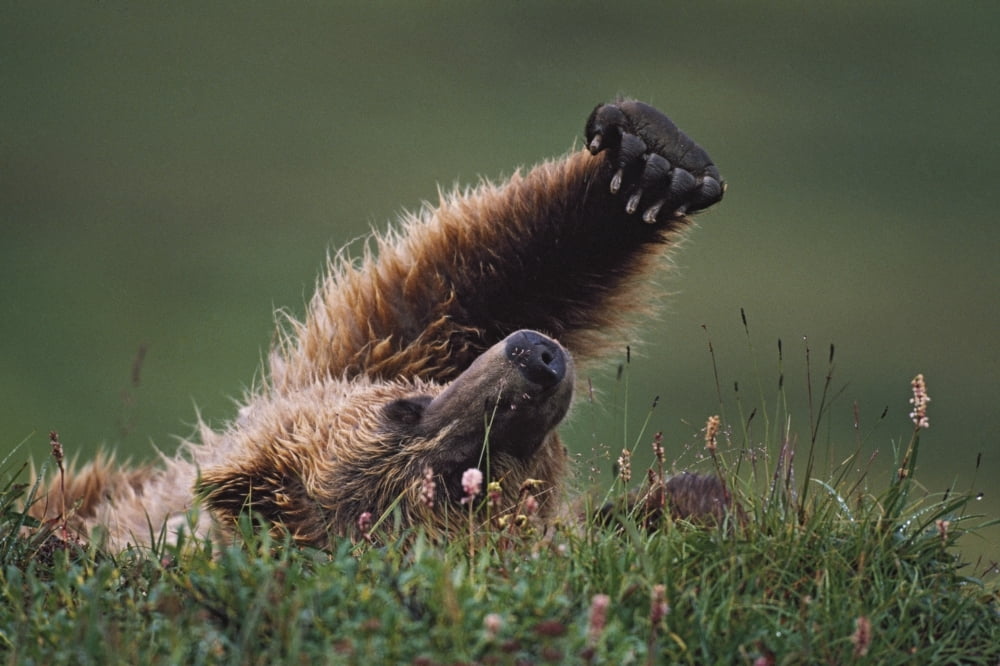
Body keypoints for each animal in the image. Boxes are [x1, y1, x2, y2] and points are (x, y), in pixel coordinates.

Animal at [34, 99, 726, 551]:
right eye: (461, 480)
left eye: (403, 409)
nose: (536, 357)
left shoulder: (352, 362)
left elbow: (451, 283)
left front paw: (651, 161)